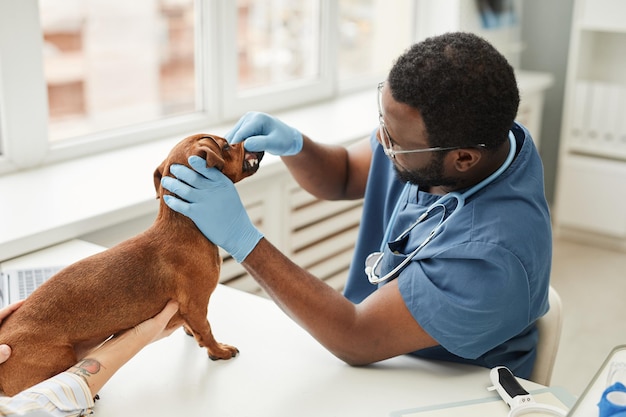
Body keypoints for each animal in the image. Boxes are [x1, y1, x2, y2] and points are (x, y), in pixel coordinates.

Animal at [0, 134, 260, 396]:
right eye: (225, 145)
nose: (248, 141)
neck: (184, 227)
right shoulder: (196, 304)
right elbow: (206, 330)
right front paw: (218, 351)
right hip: (59, 357)